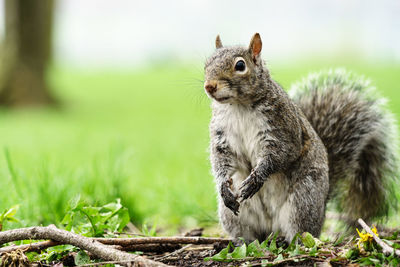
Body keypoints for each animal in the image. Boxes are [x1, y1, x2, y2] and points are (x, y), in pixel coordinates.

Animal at [205, 33, 398, 243]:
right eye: (206, 63)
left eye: (240, 65)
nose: (209, 86)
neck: (238, 106)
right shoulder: (222, 136)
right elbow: (222, 160)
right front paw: (224, 187)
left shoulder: (283, 128)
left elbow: (281, 154)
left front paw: (256, 179)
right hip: (234, 217)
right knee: (250, 236)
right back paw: (244, 243)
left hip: (303, 200)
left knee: (303, 232)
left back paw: (292, 240)